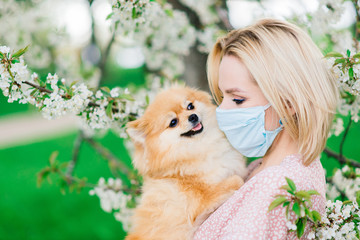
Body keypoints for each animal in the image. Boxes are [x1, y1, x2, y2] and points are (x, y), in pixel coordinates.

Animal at [125, 86, 246, 240]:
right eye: (173, 122)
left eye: (190, 106)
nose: (193, 116)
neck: (200, 146)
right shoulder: (201, 201)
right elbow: (236, 179)